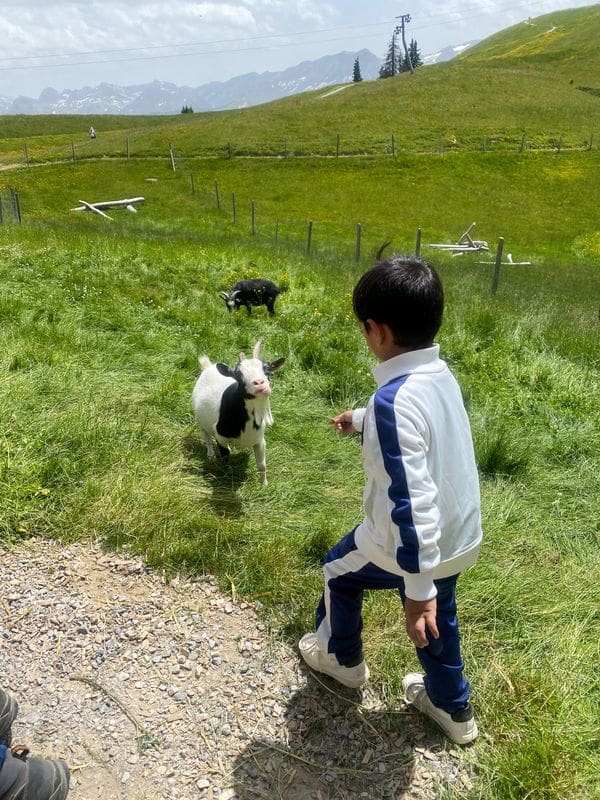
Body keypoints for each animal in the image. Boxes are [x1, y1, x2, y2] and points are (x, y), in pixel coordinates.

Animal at [193, 340, 284, 484]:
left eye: (267, 369)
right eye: (238, 374)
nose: (260, 383)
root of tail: (209, 367)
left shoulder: (260, 440)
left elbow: (262, 465)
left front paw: (264, 484)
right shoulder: (220, 435)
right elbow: (225, 457)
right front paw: (227, 476)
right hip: (200, 420)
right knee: (206, 436)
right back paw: (210, 455)